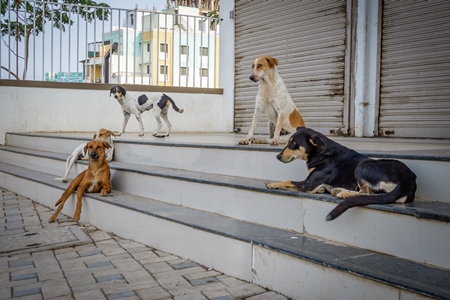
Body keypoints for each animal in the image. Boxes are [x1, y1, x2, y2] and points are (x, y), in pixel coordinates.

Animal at [266, 126, 416, 220]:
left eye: (293, 143)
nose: (277, 156)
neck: (321, 153)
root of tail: (407, 181)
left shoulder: (308, 183)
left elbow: (288, 180)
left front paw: (273, 184)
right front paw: (322, 188)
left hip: (362, 166)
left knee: (367, 193)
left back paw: (342, 193)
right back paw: (336, 189)